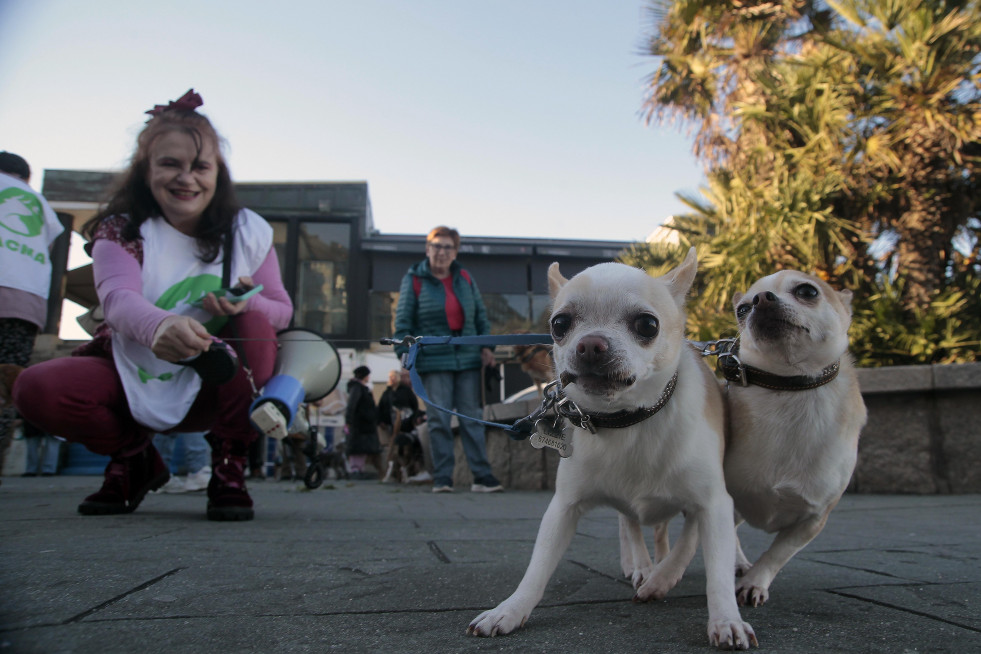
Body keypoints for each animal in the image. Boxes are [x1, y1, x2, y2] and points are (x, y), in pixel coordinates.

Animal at [468, 250, 756, 652]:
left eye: (647, 325)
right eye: (559, 324)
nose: (590, 344)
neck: (628, 422)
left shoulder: (712, 503)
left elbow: (714, 565)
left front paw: (726, 618)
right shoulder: (562, 509)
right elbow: (537, 567)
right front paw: (509, 610)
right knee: (631, 522)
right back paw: (642, 564)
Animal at [720, 272, 864, 608]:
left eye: (807, 291)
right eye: (742, 310)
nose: (761, 300)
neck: (789, 387)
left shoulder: (814, 518)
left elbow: (778, 554)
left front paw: (754, 582)